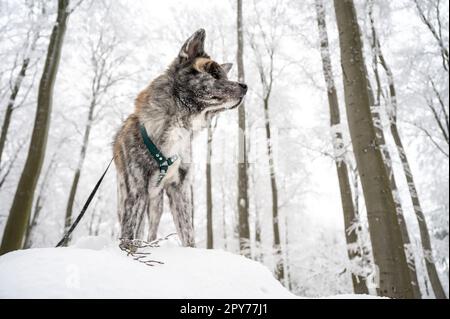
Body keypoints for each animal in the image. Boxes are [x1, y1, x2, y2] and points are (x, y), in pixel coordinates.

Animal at [111, 29, 246, 248]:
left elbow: (187, 232)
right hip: (129, 197)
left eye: (225, 74)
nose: (245, 86)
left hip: (156, 203)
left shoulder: (179, 189)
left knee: (151, 230)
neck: (179, 121)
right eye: (213, 73)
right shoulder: (136, 191)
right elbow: (129, 232)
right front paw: (128, 253)